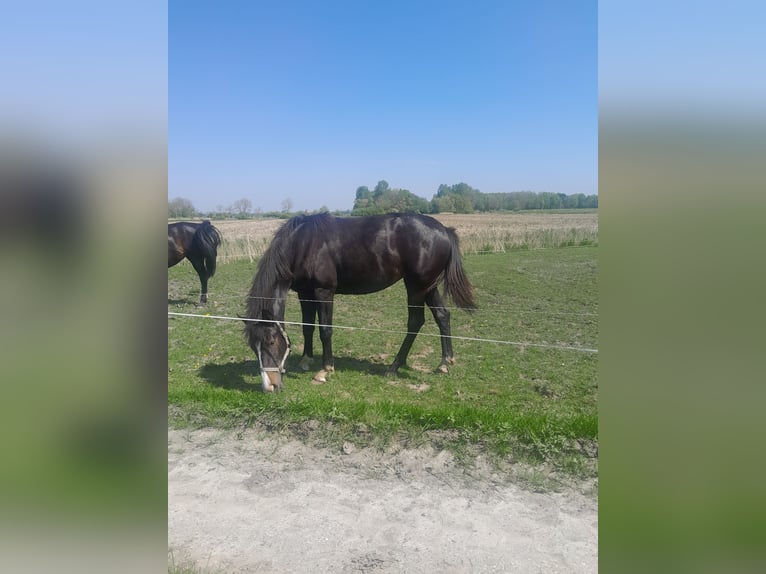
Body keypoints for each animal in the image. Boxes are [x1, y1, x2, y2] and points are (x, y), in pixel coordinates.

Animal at [246, 214, 476, 394]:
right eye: (253, 346)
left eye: (271, 342)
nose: (269, 386)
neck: (304, 243)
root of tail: (444, 230)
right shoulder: (305, 293)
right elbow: (307, 328)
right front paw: (306, 360)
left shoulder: (323, 292)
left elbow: (325, 330)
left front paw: (324, 370)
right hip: (428, 287)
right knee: (442, 316)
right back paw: (445, 363)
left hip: (416, 287)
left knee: (415, 322)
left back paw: (394, 366)